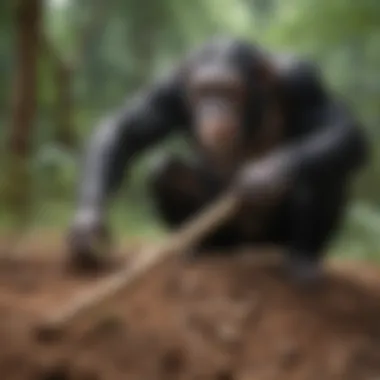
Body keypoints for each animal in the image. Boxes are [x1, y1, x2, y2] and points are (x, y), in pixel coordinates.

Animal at [68, 37, 368, 282]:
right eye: (204, 91)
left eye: (228, 91)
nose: (215, 109)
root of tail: (248, 249)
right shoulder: (171, 89)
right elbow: (126, 130)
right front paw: (88, 225)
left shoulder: (303, 79)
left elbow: (342, 127)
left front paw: (266, 174)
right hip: (226, 237)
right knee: (165, 170)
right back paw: (196, 250)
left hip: (274, 239)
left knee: (324, 173)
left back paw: (303, 259)